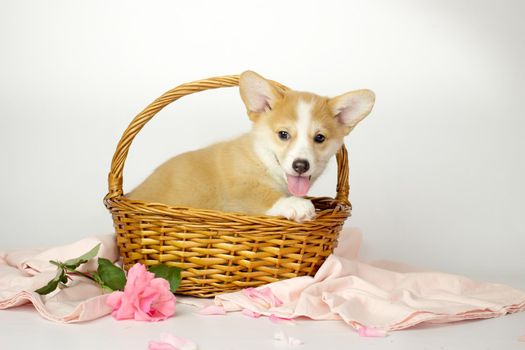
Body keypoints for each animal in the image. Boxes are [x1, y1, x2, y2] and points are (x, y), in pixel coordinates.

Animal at [127, 71, 372, 223]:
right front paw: (297, 205)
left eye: (319, 138)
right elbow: (261, 194)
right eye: (283, 134)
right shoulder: (240, 186)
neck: (262, 160)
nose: (301, 166)